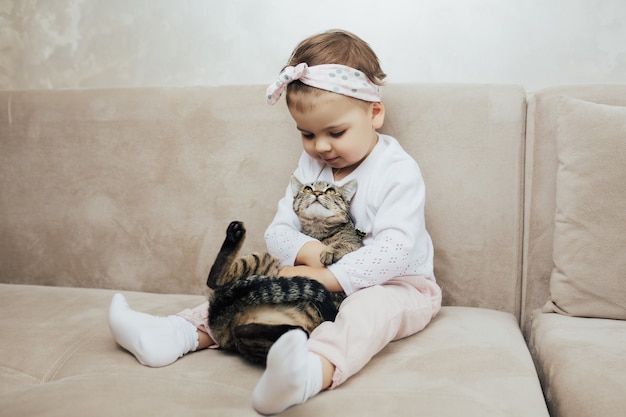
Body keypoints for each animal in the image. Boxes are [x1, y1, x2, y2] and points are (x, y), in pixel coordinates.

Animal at [205, 176, 364, 364]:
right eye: (308, 188)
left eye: (330, 191)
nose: (317, 193)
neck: (318, 231)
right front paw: (326, 250)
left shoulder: (356, 246)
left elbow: (344, 243)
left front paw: (329, 251)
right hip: (265, 261)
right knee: (215, 281)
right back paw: (234, 235)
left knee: (242, 330)